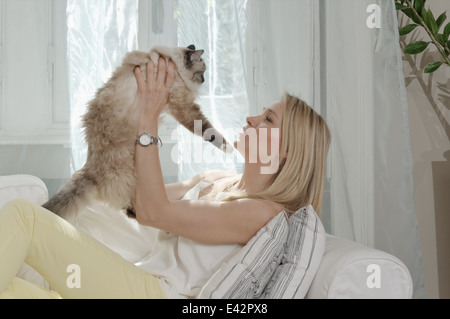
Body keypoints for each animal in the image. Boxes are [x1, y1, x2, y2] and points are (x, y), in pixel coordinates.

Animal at [42, 44, 232, 220]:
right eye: (202, 72)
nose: (204, 80)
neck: (171, 62)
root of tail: (90, 169)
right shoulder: (183, 106)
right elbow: (207, 130)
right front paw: (229, 148)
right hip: (132, 176)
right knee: (133, 207)